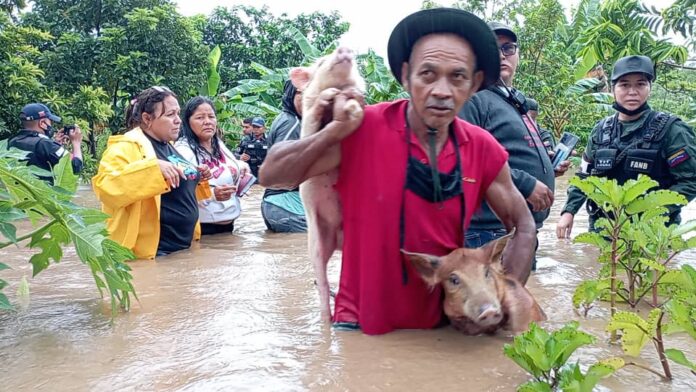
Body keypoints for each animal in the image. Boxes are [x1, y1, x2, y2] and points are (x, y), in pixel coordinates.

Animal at [288, 46, 368, 322]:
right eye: (321, 61)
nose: (343, 48)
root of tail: (340, 241)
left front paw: (353, 101)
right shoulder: (307, 126)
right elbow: (312, 121)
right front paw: (330, 95)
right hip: (316, 241)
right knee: (321, 278)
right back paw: (327, 318)